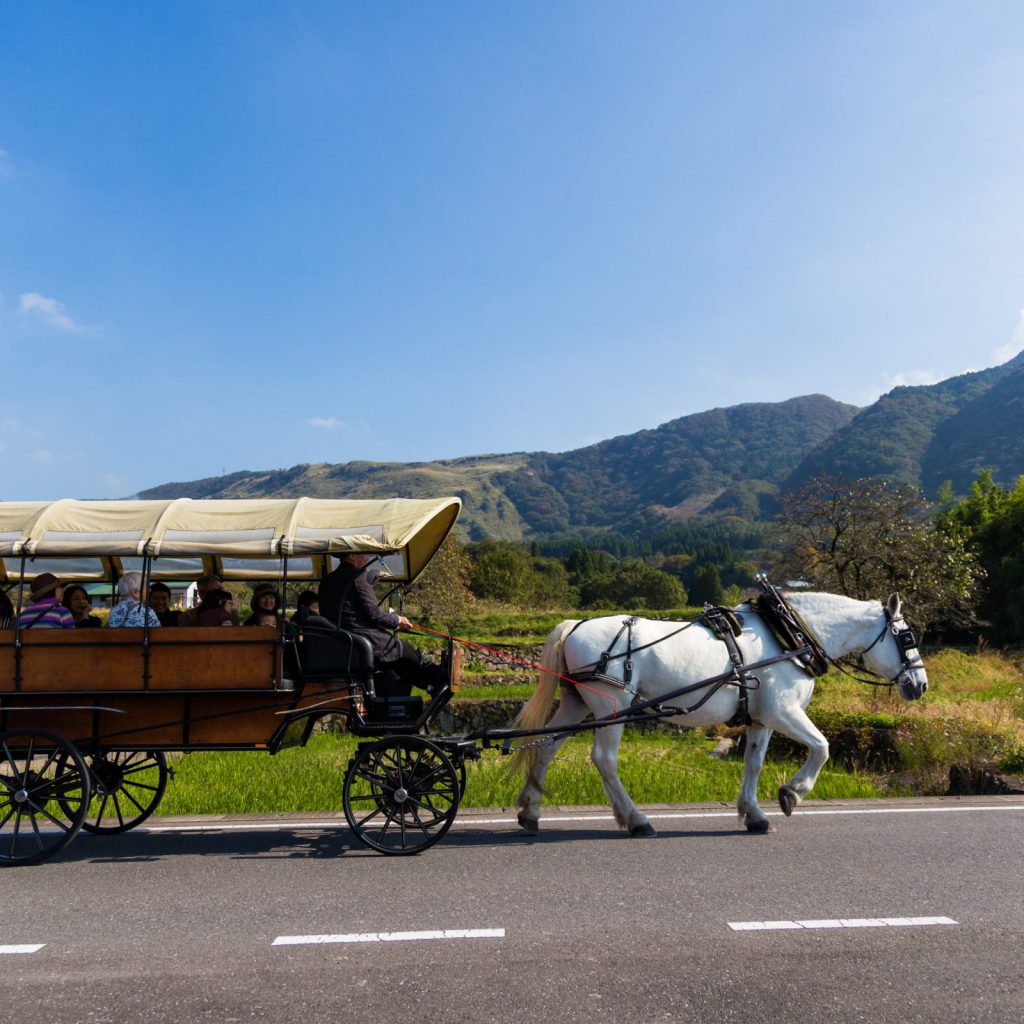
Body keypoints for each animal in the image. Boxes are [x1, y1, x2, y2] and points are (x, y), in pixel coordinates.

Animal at [512, 589, 929, 835]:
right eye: (907, 636)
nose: (921, 685)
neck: (789, 635)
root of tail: (573, 625)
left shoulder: (761, 718)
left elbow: (754, 763)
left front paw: (754, 814)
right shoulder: (784, 711)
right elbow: (822, 747)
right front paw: (792, 793)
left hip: (577, 703)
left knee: (545, 747)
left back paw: (530, 812)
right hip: (611, 706)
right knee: (604, 759)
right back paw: (636, 819)